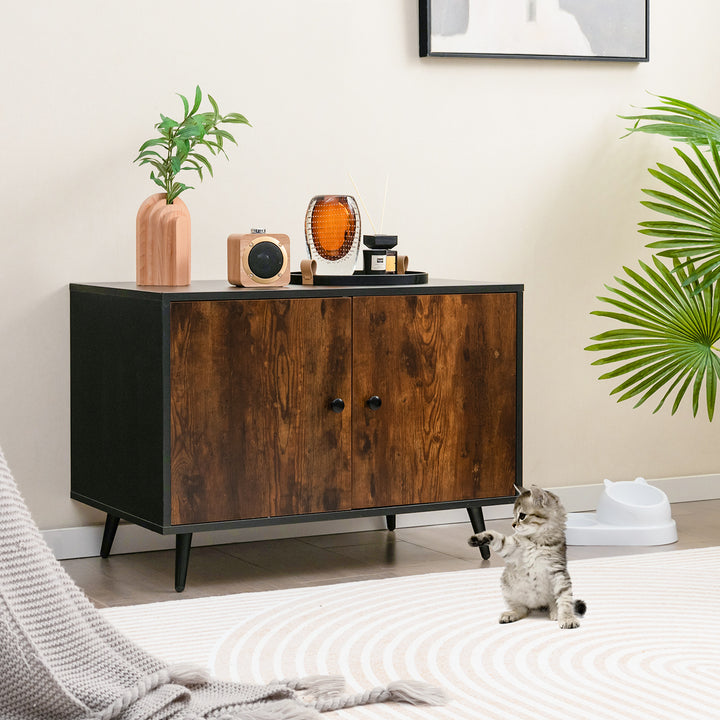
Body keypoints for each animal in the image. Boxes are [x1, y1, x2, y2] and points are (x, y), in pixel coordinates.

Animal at [470, 484, 588, 632]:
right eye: (514, 515)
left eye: (521, 516)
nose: (513, 524)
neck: (537, 542)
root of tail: (537, 605)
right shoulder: (511, 549)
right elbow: (498, 538)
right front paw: (480, 537)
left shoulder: (558, 571)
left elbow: (565, 598)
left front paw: (567, 618)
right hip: (507, 587)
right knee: (522, 609)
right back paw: (511, 614)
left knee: (552, 604)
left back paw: (555, 612)